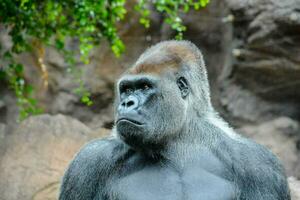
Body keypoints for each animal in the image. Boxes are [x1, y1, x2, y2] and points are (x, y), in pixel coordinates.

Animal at [58, 40, 290, 200]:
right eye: (126, 89)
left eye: (145, 86)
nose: (126, 103)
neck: (179, 140)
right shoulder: (89, 161)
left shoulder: (260, 166)